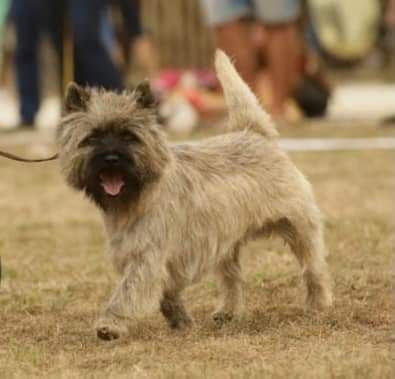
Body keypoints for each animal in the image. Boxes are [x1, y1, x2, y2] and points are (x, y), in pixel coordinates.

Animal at [57, 50, 332, 342]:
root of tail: (254, 133)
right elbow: (167, 293)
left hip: (298, 225)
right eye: (92, 137)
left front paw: (110, 325)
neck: (136, 197)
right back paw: (228, 311)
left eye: (129, 136)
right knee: (232, 277)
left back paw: (318, 303)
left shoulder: (147, 256)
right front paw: (181, 320)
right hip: (225, 242)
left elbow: (127, 292)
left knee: (313, 265)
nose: (111, 158)